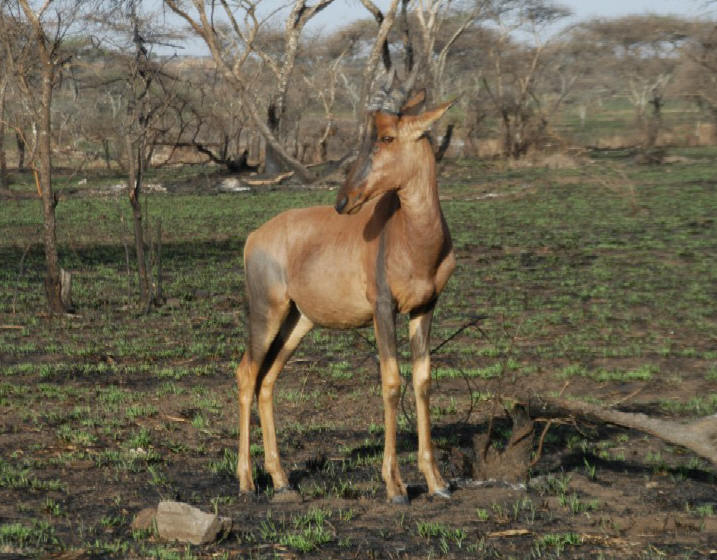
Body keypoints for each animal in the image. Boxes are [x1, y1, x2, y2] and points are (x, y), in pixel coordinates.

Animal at [238, 86, 456, 504]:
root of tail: (254, 237)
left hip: (298, 322)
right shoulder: (383, 309)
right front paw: (395, 486)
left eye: (387, 137)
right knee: (246, 374)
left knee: (267, 380)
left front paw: (438, 482)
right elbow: (392, 382)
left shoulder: (424, 308)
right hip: (266, 312)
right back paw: (246, 481)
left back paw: (281, 479)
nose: (344, 200)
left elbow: (422, 380)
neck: (408, 233)